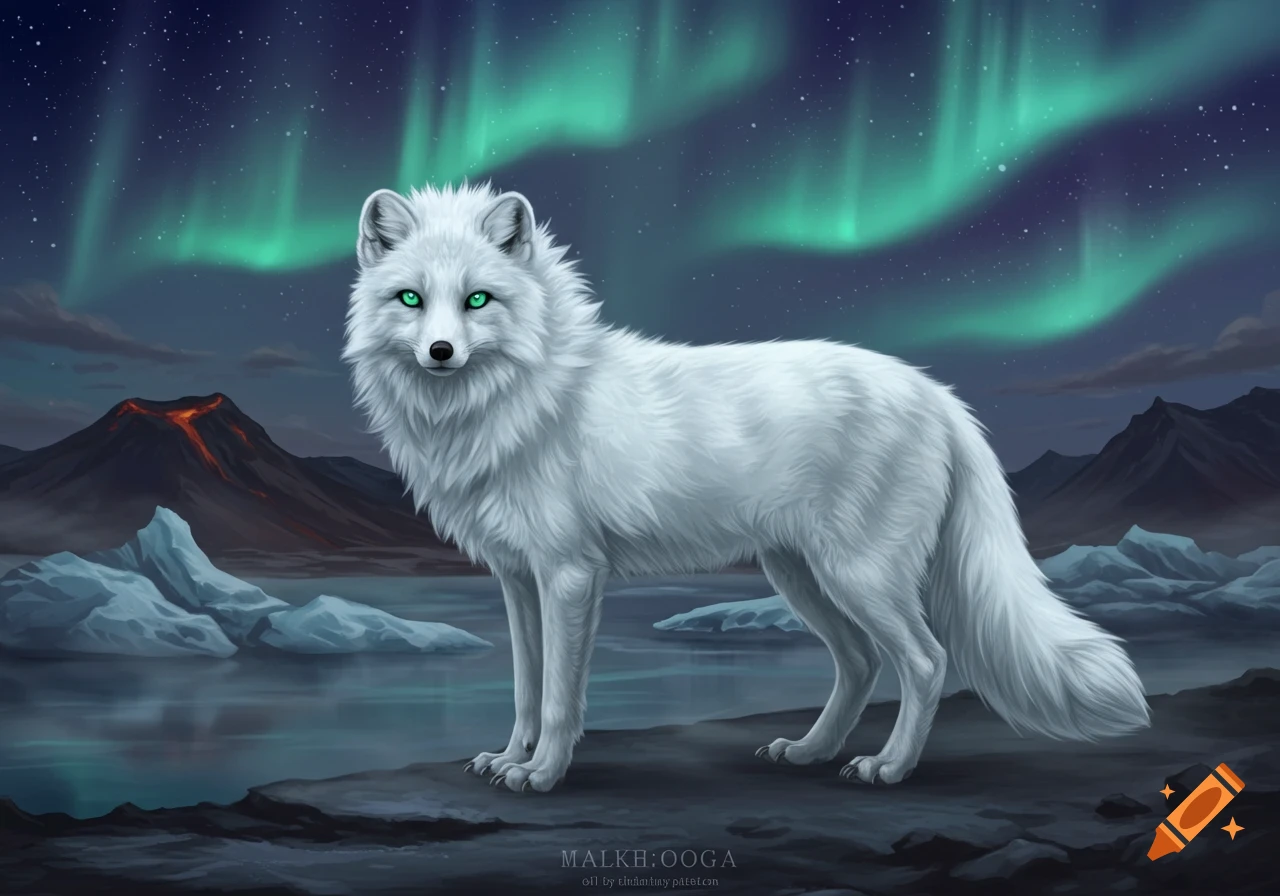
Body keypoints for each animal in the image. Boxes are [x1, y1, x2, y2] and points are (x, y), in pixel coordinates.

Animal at [342, 181, 1150, 794]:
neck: (519, 401)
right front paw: (509, 757)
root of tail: (939, 396)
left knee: (923, 662)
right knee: (860, 663)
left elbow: (561, 696)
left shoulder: (570, 574)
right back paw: (811, 751)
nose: (440, 351)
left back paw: (887, 767)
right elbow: (524, 687)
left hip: (858, 575)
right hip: (798, 575)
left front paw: (542, 773)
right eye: (411, 299)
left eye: (478, 301)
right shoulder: (516, 578)